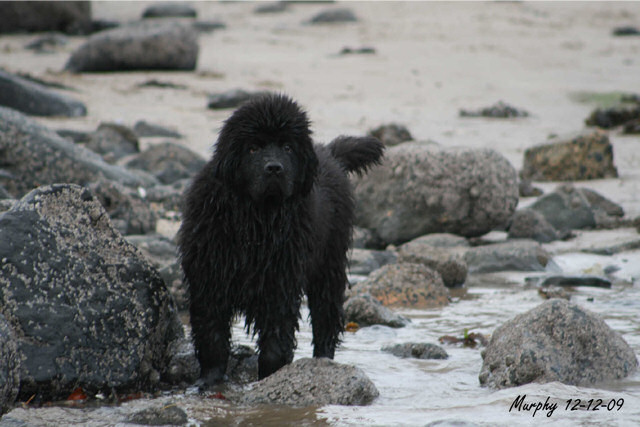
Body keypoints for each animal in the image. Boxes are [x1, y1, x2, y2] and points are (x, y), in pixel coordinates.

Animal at [178, 94, 382, 384]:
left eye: (287, 147)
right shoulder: (209, 279)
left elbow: (276, 339)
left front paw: (269, 379)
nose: (274, 168)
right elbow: (212, 336)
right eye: (253, 148)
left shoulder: (280, 283)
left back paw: (324, 362)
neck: (257, 219)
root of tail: (329, 154)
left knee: (326, 319)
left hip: (329, 265)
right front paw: (210, 382)